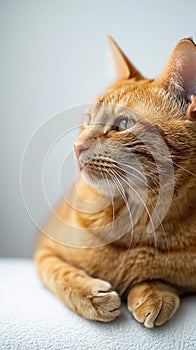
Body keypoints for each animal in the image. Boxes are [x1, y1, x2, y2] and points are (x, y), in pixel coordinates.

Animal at [34, 37, 195, 326]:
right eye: (88, 120)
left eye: (122, 124)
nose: (77, 146)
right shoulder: (44, 251)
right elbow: (61, 274)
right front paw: (91, 296)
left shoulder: (190, 279)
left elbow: (163, 277)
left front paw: (152, 293)